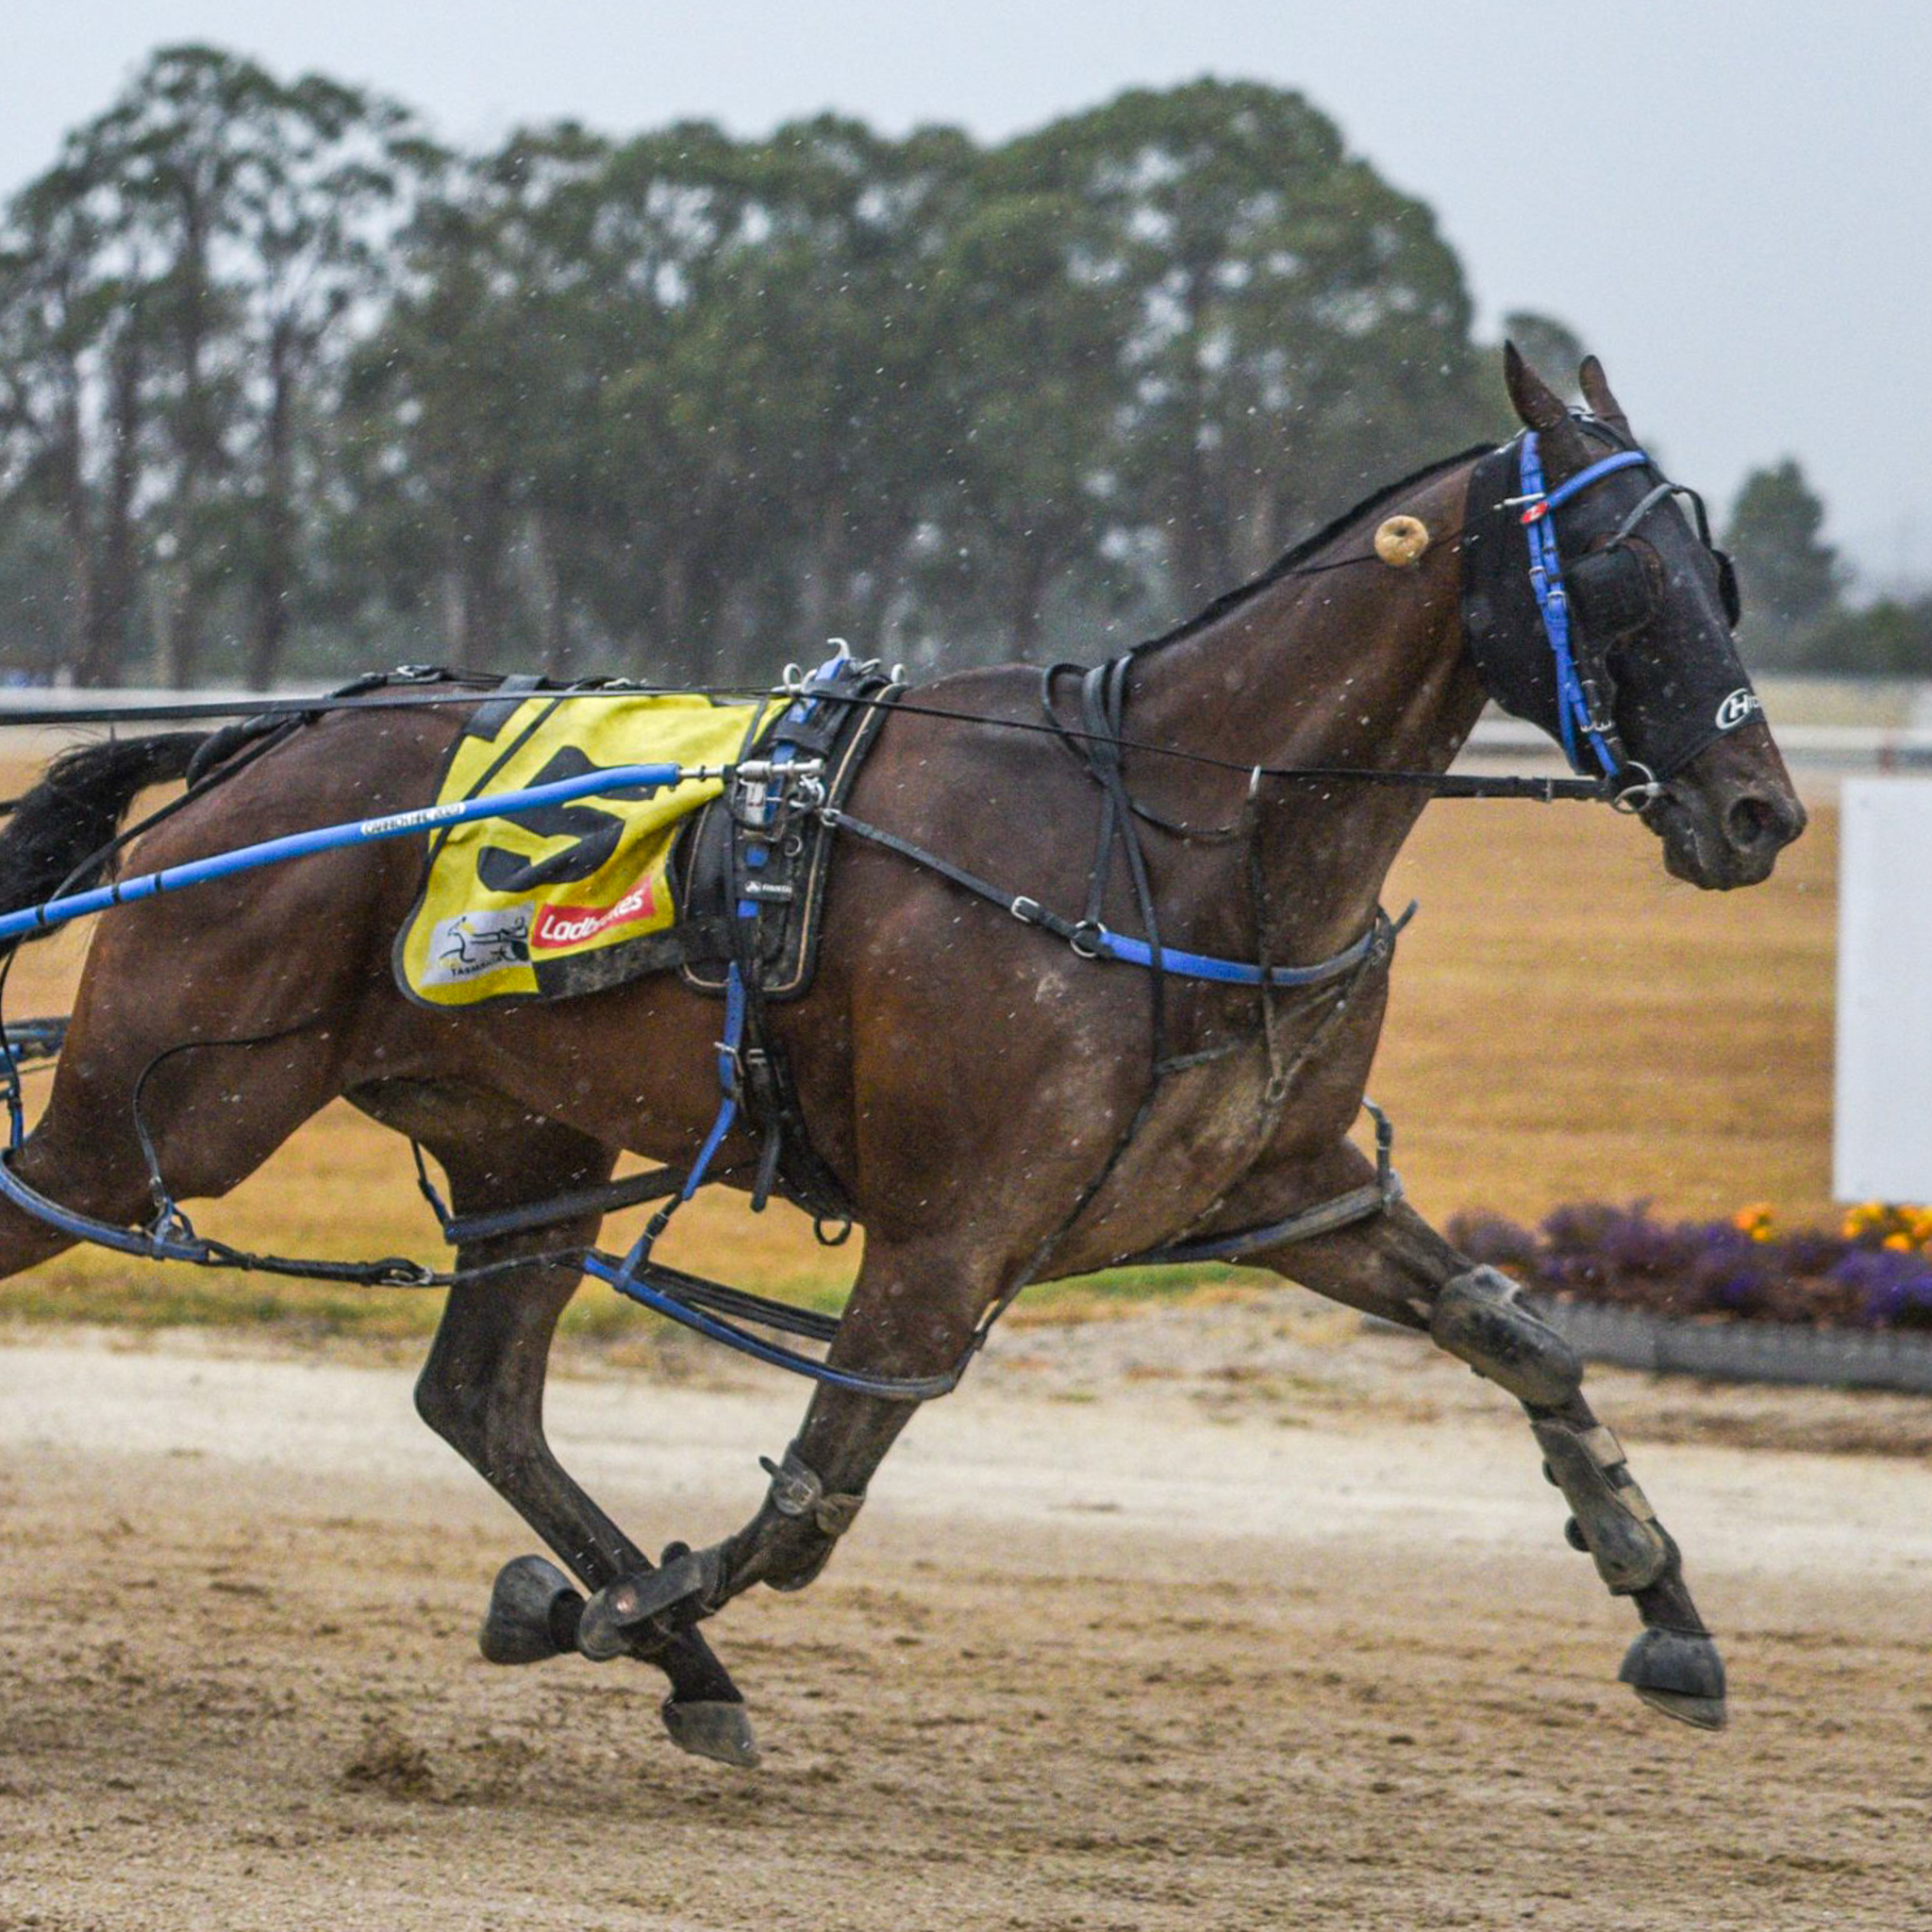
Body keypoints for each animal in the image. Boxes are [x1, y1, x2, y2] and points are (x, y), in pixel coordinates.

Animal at [0, 351, 1807, 1769]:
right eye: (1625, 575)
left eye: (1718, 573)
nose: (1759, 815)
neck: (1169, 829)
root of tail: (256, 751)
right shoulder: (949, 1235)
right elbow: (812, 1500)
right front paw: (603, 1612)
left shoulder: (1277, 1188)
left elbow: (1518, 1334)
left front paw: (1659, 1596)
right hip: (161, 1106)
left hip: (524, 1145)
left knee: (480, 1400)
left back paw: (685, 1661)